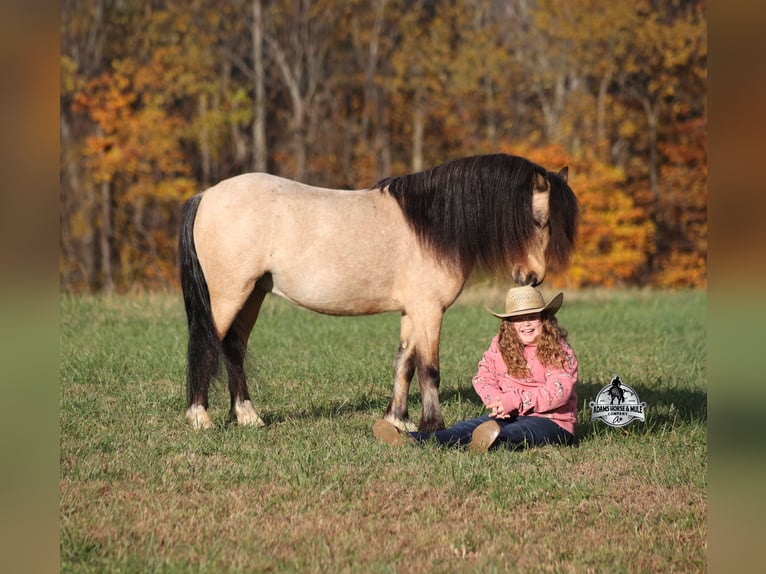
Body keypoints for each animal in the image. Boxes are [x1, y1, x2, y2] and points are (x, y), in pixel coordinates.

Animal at [179, 153, 578, 433]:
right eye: (538, 220)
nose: (531, 277)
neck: (431, 224)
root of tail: (205, 195)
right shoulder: (429, 311)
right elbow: (429, 369)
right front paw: (434, 425)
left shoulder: (411, 312)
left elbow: (404, 364)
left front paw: (397, 420)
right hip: (229, 296)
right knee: (206, 345)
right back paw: (201, 419)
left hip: (253, 295)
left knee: (233, 348)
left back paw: (248, 416)